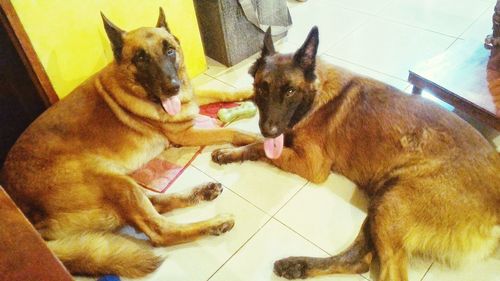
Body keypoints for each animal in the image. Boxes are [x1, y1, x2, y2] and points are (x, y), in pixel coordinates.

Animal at [2, 8, 262, 276]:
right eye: (140, 58)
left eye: (170, 50)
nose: (172, 87)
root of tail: (30, 217)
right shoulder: (185, 133)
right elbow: (232, 132)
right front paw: (256, 140)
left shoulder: (188, 97)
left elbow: (219, 92)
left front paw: (248, 92)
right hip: (115, 182)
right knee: (160, 231)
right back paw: (214, 222)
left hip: (123, 182)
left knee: (154, 205)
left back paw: (201, 192)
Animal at [212, 26, 500, 280]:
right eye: (262, 88)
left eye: (290, 91)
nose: (270, 128)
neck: (314, 96)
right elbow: (249, 137)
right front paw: (228, 150)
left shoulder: (312, 165)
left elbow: (259, 146)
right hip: (383, 200)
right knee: (359, 260)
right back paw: (298, 266)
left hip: (391, 204)